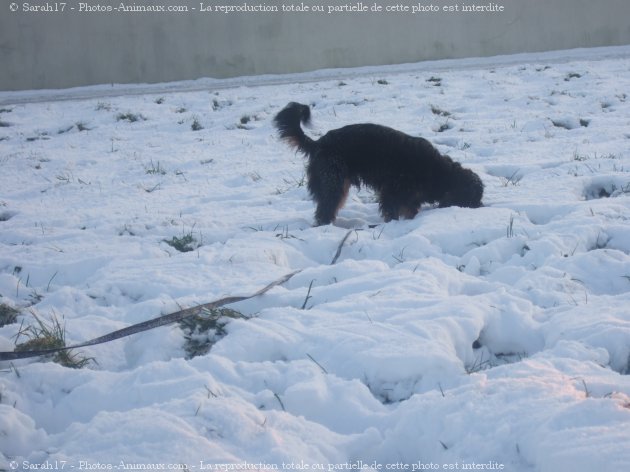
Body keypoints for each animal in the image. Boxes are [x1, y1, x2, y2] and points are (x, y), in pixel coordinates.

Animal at [272, 101, 484, 225]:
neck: (439, 172)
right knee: (325, 208)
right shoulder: (392, 191)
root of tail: (318, 143)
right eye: (471, 199)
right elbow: (392, 210)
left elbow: (410, 208)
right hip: (334, 181)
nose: (481, 207)